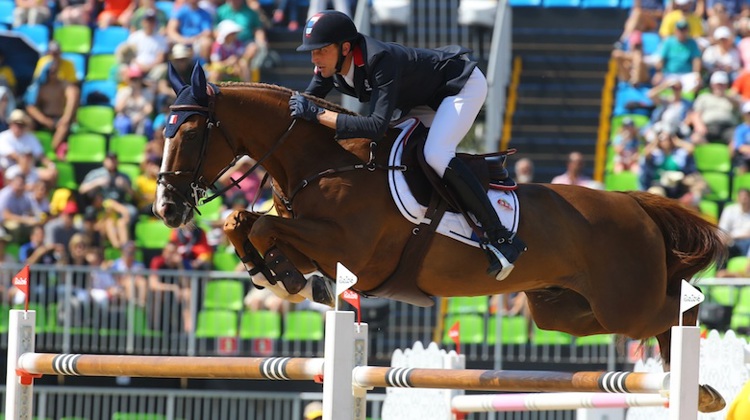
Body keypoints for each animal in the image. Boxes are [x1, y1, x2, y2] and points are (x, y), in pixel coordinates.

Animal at [157, 64, 728, 412]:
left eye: (189, 132)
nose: (167, 208)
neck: (324, 160)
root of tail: (632, 203)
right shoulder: (321, 242)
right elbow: (243, 223)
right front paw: (281, 276)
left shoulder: (353, 251)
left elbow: (264, 225)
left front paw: (290, 280)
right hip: (562, 310)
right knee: (626, 318)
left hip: (625, 302)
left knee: (677, 310)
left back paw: (702, 384)